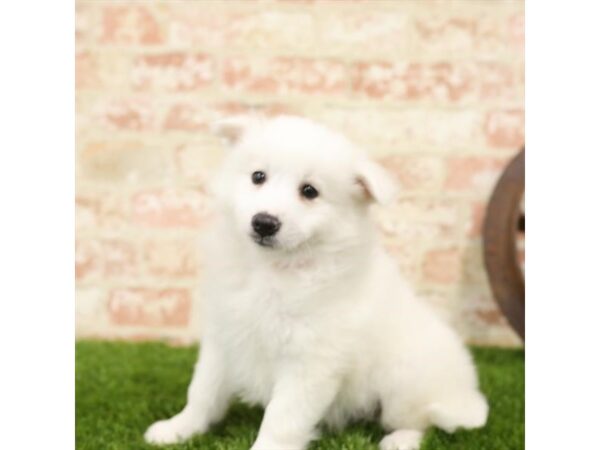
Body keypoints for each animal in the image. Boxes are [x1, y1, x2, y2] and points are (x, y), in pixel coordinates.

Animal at [145, 116, 488, 450]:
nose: (264, 223)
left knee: (421, 421)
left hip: (405, 382)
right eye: (258, 176)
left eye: (309, 191)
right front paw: (178, 429)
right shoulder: (224, 339)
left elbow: (281, 419)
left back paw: (400, 440)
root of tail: (465, 391)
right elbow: (203, 392)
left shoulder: (310, 361)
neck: (275, 268)